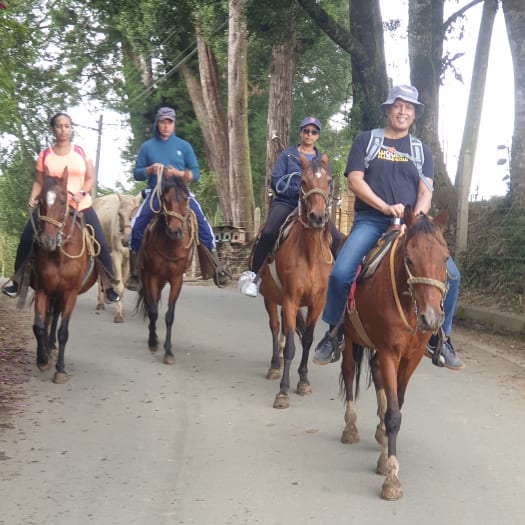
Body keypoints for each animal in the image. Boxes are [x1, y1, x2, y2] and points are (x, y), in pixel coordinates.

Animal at [33, 170, 98, 382]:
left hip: (61, 294)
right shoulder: (43, 290)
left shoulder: (70, 293)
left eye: (63, 201)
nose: (47, 241)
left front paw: (60, 369)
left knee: (55, 318)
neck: (59, 255)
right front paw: (42, 360)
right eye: (40, 201)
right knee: (49, 318)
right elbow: (39, 326)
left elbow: (63, 331)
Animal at [137, 170, 196, 362]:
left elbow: (169, 315)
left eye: (185, 198)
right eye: (164, 198)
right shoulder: (153, 276)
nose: (175, 231)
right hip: (147, 277)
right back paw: (153, 338)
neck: (171, 246)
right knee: (151, 304)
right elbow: (153, 311)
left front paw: (168, 351)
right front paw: (153, 343)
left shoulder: (177, 279)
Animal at [258, 154, 336, 408]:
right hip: (271, 298)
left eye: (329, 181)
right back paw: (275, 365)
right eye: (302, 181)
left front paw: (303, 381)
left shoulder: (316, 303)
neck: (309, 255)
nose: (318, 217)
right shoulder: (290, 299)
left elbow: (308, 340)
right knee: (275, 327)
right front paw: (283, 391)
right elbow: (292, 344)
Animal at [342, 206, 448, 500]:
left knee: (378, 378)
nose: (431, 319)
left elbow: (395, 404)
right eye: (409, 259)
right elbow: (393, 415)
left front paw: (384, 454)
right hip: (348, 338)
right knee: (349, 374)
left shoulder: (411, 358)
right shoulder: (390, 352)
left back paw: (378, 433)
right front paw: (391, 477)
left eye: (445, 258)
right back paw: (350, 427)